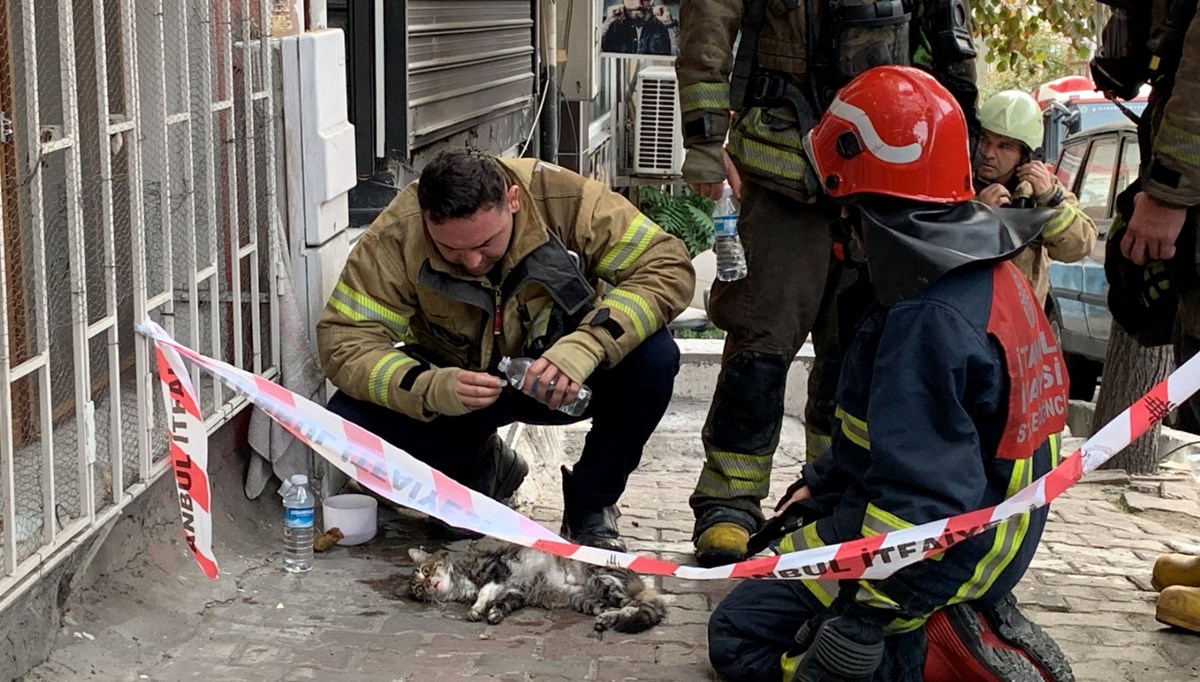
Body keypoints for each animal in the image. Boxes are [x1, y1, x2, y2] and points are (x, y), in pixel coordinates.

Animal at [405, 542, 667, 633]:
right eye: (419, 590)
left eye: (426, 570)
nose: (429, 584)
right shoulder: (516, 592)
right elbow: (502, 603)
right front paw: (494, 613)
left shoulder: (497, 570)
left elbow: (486, 591)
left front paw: (478, 608)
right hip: (587, 600)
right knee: (624, 608)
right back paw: (606, 619)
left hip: (605, 579)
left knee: (641, 605)